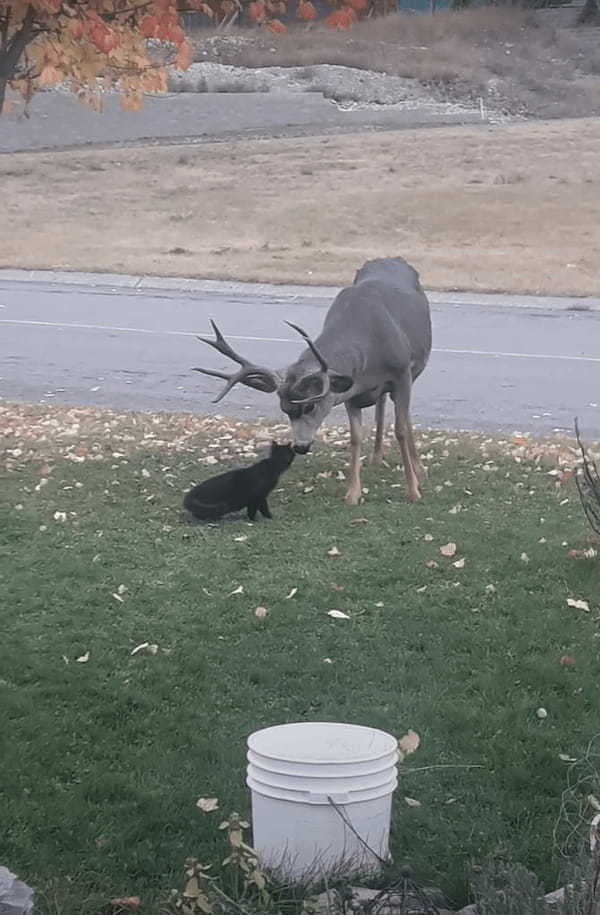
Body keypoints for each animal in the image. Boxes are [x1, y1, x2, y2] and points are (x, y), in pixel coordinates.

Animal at [192, 254, 432, 504]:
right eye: (285, 410)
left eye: (310, 406)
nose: (300, 446)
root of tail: (393, 259)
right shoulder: (353, 391)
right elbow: (355, 437)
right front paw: (353, 494)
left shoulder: (401, 373)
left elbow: (401, 429)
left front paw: (413, 490)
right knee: (382, 404)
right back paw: (377, 457)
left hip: (413, 371)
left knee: (403, 415)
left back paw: (419, 469)